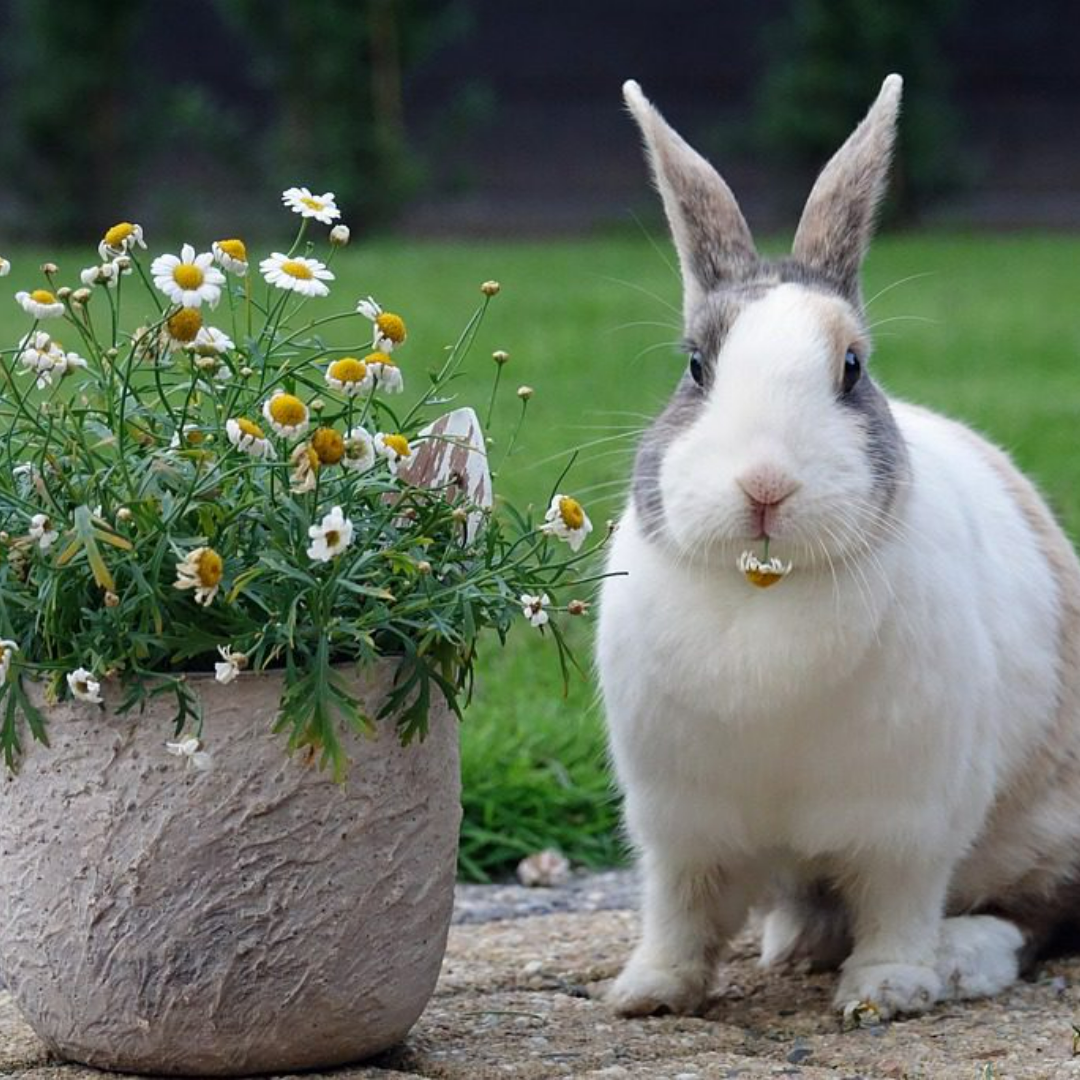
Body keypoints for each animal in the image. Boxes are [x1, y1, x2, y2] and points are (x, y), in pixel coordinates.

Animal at [596, 69, 1080, 1019]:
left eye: (852, 369)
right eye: (696, 367)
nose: (765, 485)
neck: (765, 585)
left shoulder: (907, 822)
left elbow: (898, 901)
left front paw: (884, 990)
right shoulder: (678, 821)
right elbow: (680, 905)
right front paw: (647, 992)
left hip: (1049, 825)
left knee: (1043, 912)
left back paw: (958, 959)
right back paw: (795, 944)